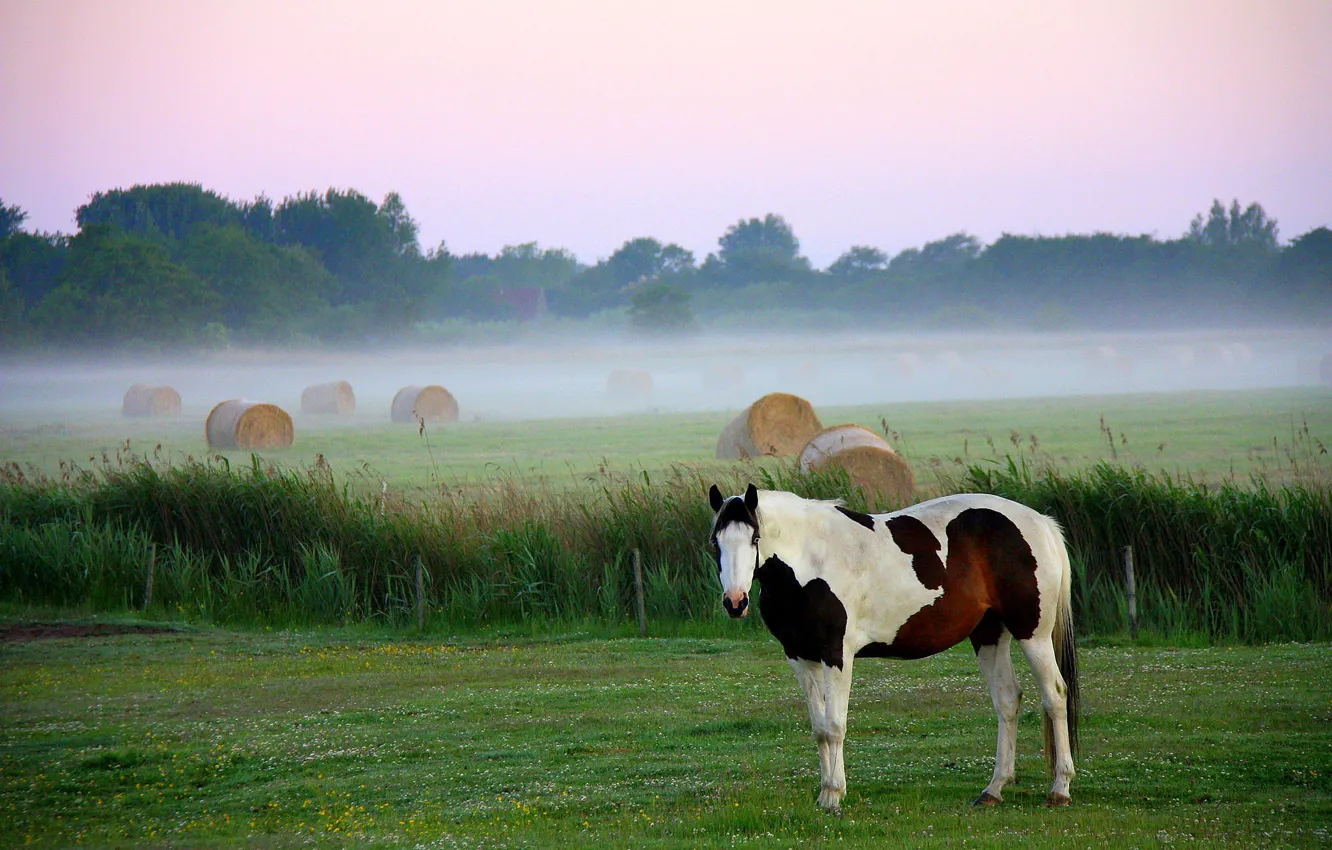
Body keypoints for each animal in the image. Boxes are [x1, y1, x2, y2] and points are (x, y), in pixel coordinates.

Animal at [707, 484, 1079, 811]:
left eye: (755, 538)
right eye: (716, 542)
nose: (735, 602)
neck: (812, 560)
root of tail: (1041, 522)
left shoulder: (836, 656)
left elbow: (835, 726)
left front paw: (834, 795)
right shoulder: (800, 658)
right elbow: (819, 729)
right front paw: (826, 792)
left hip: (1033, 633)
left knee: (1055, 695)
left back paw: (1060, 789)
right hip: (989, 634)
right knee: (1007, 700)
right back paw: (994, 789)